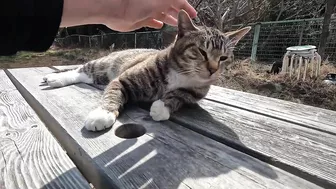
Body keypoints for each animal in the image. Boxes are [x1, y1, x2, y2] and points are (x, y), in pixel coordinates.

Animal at [43, 9, 251, 131]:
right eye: (201, 51)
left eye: (224, 58)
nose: (213, 70)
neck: (182, 74)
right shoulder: (122, 79)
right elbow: (112, 93)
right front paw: (102, 114)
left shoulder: (195, 93)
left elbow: (180, 96)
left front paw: (162, 107)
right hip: (103, 65)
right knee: (80, 70)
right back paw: (54, 78)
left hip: (100, 75)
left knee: (86, 77)